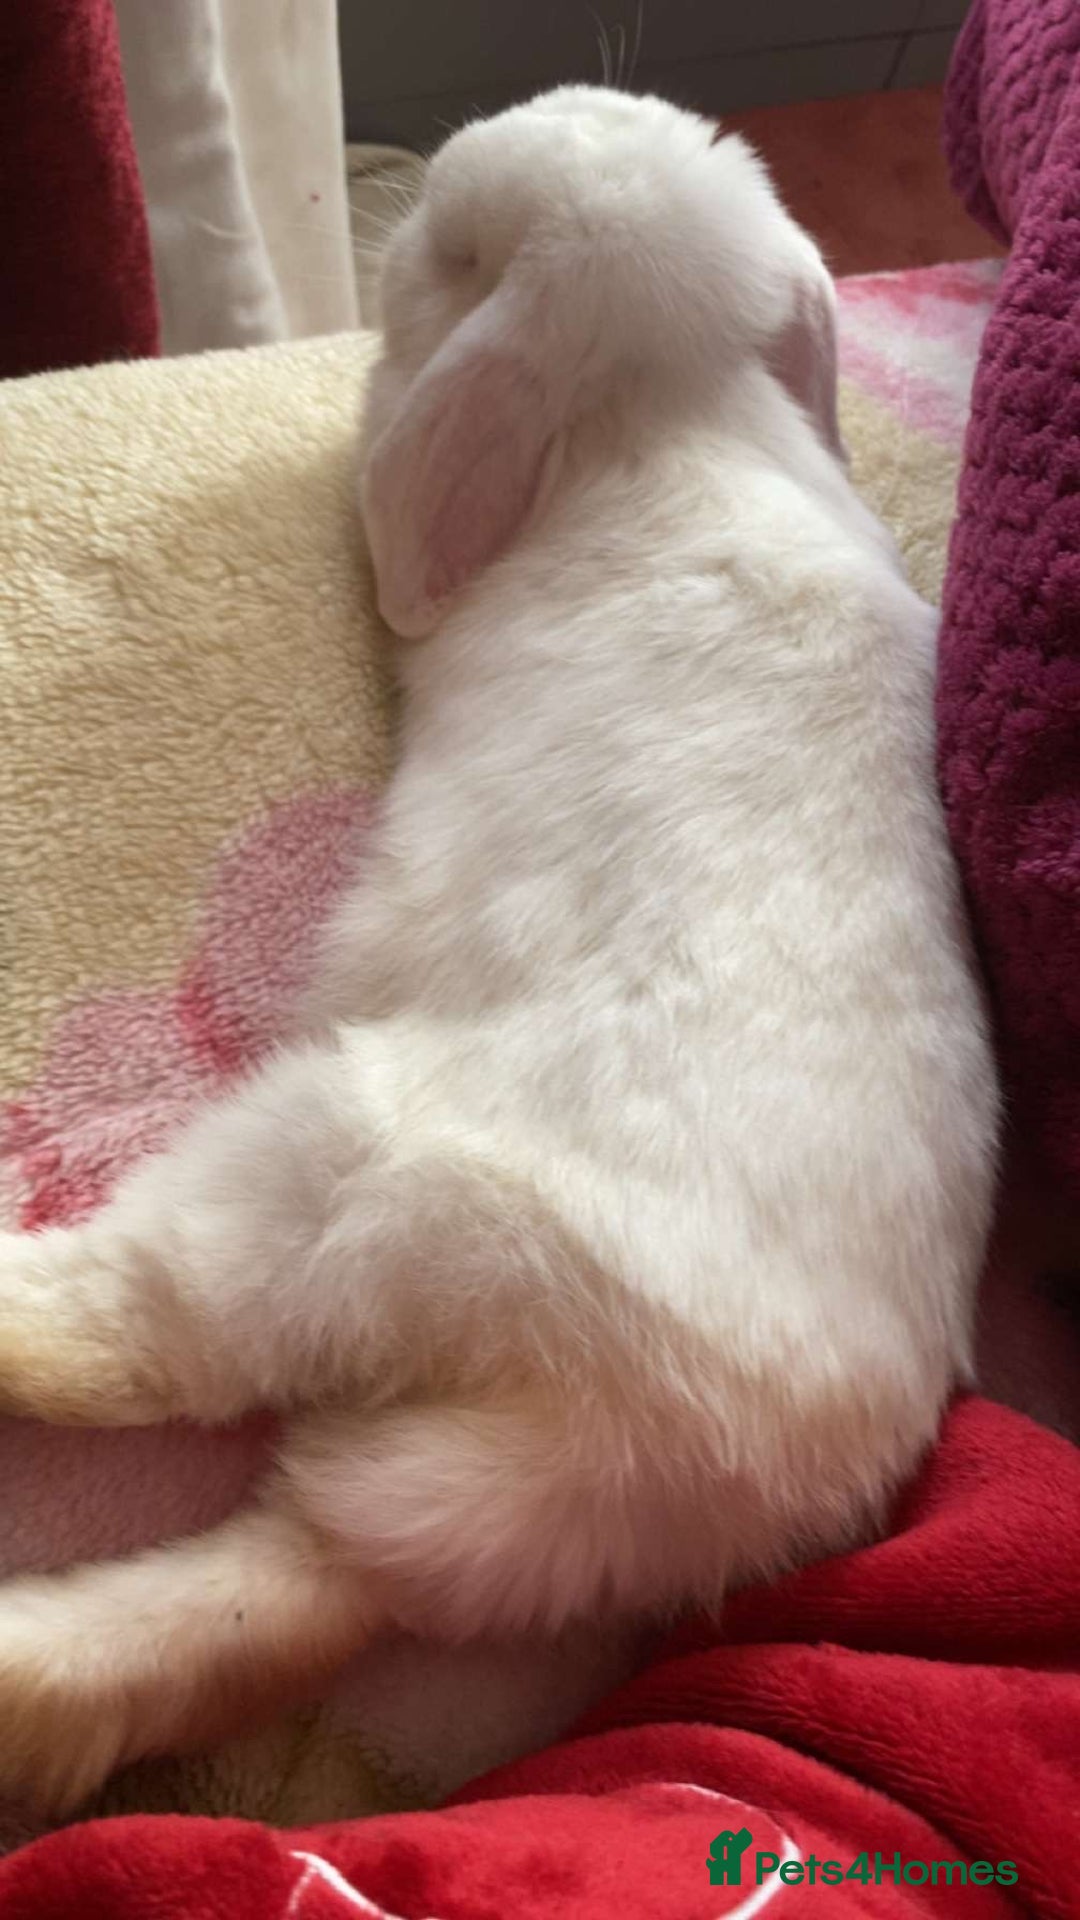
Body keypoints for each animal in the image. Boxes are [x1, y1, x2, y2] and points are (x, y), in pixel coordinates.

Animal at [0, 85, 997, 1815]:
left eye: (469, 251)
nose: (416, 197)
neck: (670, 417)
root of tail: (694, 1452)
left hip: (330, 1168)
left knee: (126, 1342)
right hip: (425, 1513)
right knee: (269, 1603)